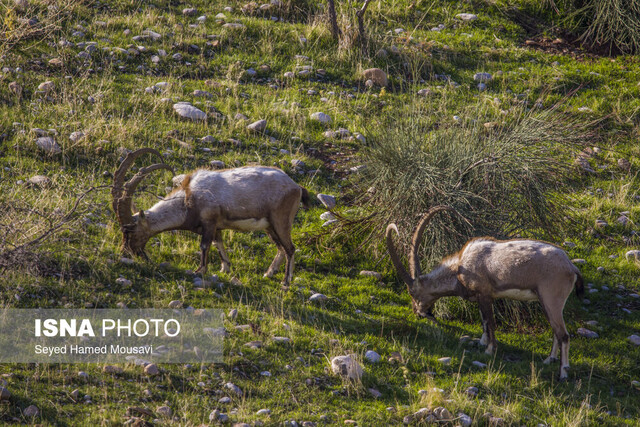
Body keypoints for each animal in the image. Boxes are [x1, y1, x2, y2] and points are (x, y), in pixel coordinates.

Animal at [384, 207, 584, 382]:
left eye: (413, 292)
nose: (418, 312)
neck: (460, 267)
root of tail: (571, 267)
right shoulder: (482, 298)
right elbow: (484, 321)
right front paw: (482, 342)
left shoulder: (486, 295)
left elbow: (490, 322)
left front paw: (489, 350)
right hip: (548, 304)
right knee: (556, 332)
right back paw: (549, 359)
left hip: (551, 300)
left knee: (563, 335)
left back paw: (563, 373)